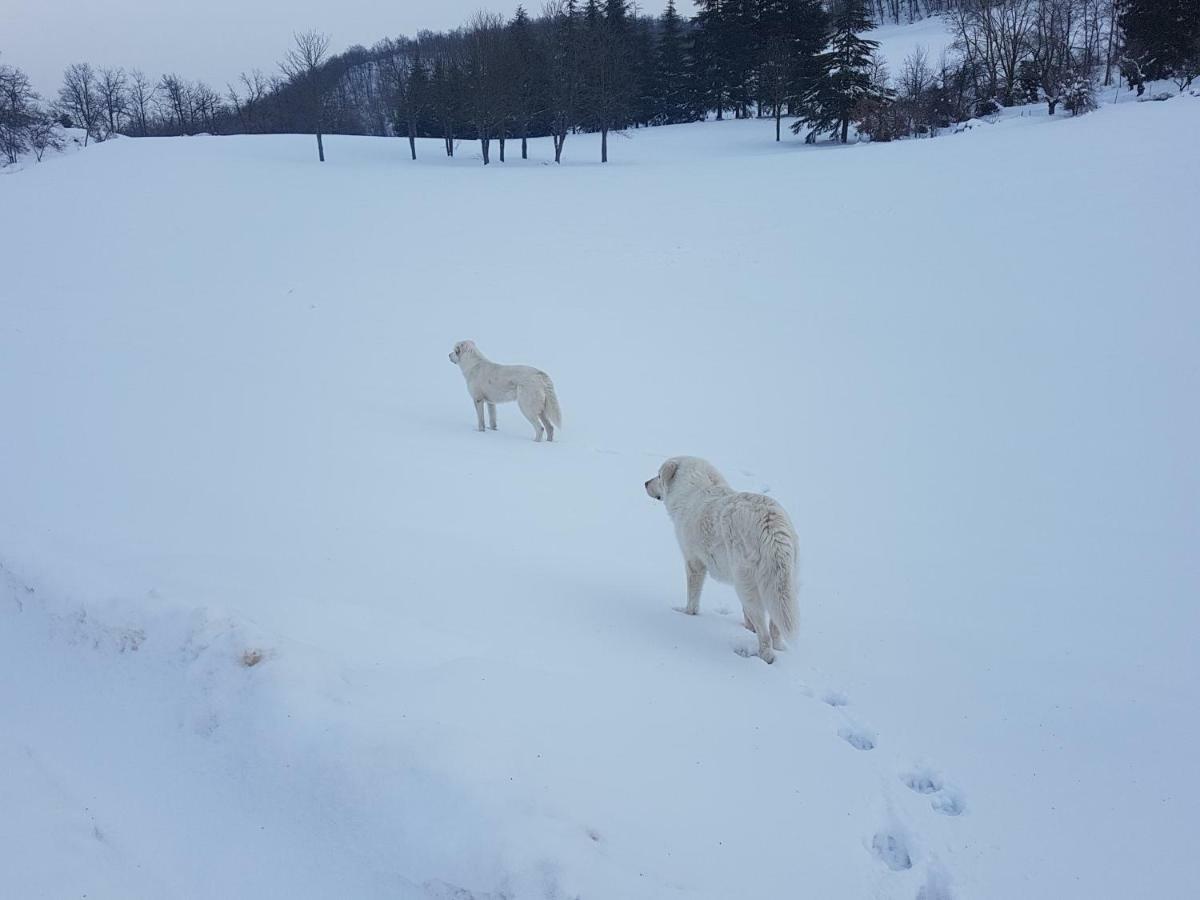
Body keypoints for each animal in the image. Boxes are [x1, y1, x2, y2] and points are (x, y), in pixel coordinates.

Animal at [643, 458, 801, 662]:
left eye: (659, 475)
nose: (645, 483)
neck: (692, 491)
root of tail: (771, 525)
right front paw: (747, 627)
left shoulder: (694, 563)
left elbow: (692, 597)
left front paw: (687, 614)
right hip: (780, 584)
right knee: (775, 626)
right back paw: (777, 647)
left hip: (747, 585)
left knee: (764, 633)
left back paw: (765, 656)